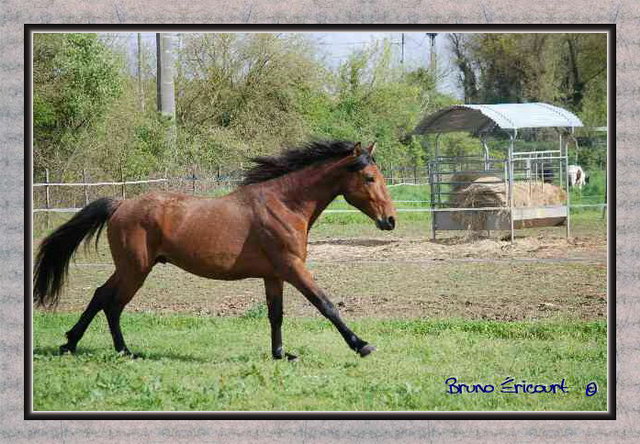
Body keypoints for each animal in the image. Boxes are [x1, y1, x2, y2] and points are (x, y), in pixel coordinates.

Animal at [35, 142, 398, 360]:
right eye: (369, 177)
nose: (390, 220)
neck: (284, 204)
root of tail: (121, 204)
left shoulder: (274, 275)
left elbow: (276, 315)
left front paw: (281, 354)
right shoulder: (292, 267)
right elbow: (326, 305)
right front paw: (361, 345)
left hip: (131, 268)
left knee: (101, 297)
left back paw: (76, 343)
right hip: (135, 269)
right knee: (111, 303)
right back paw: (118, 349)